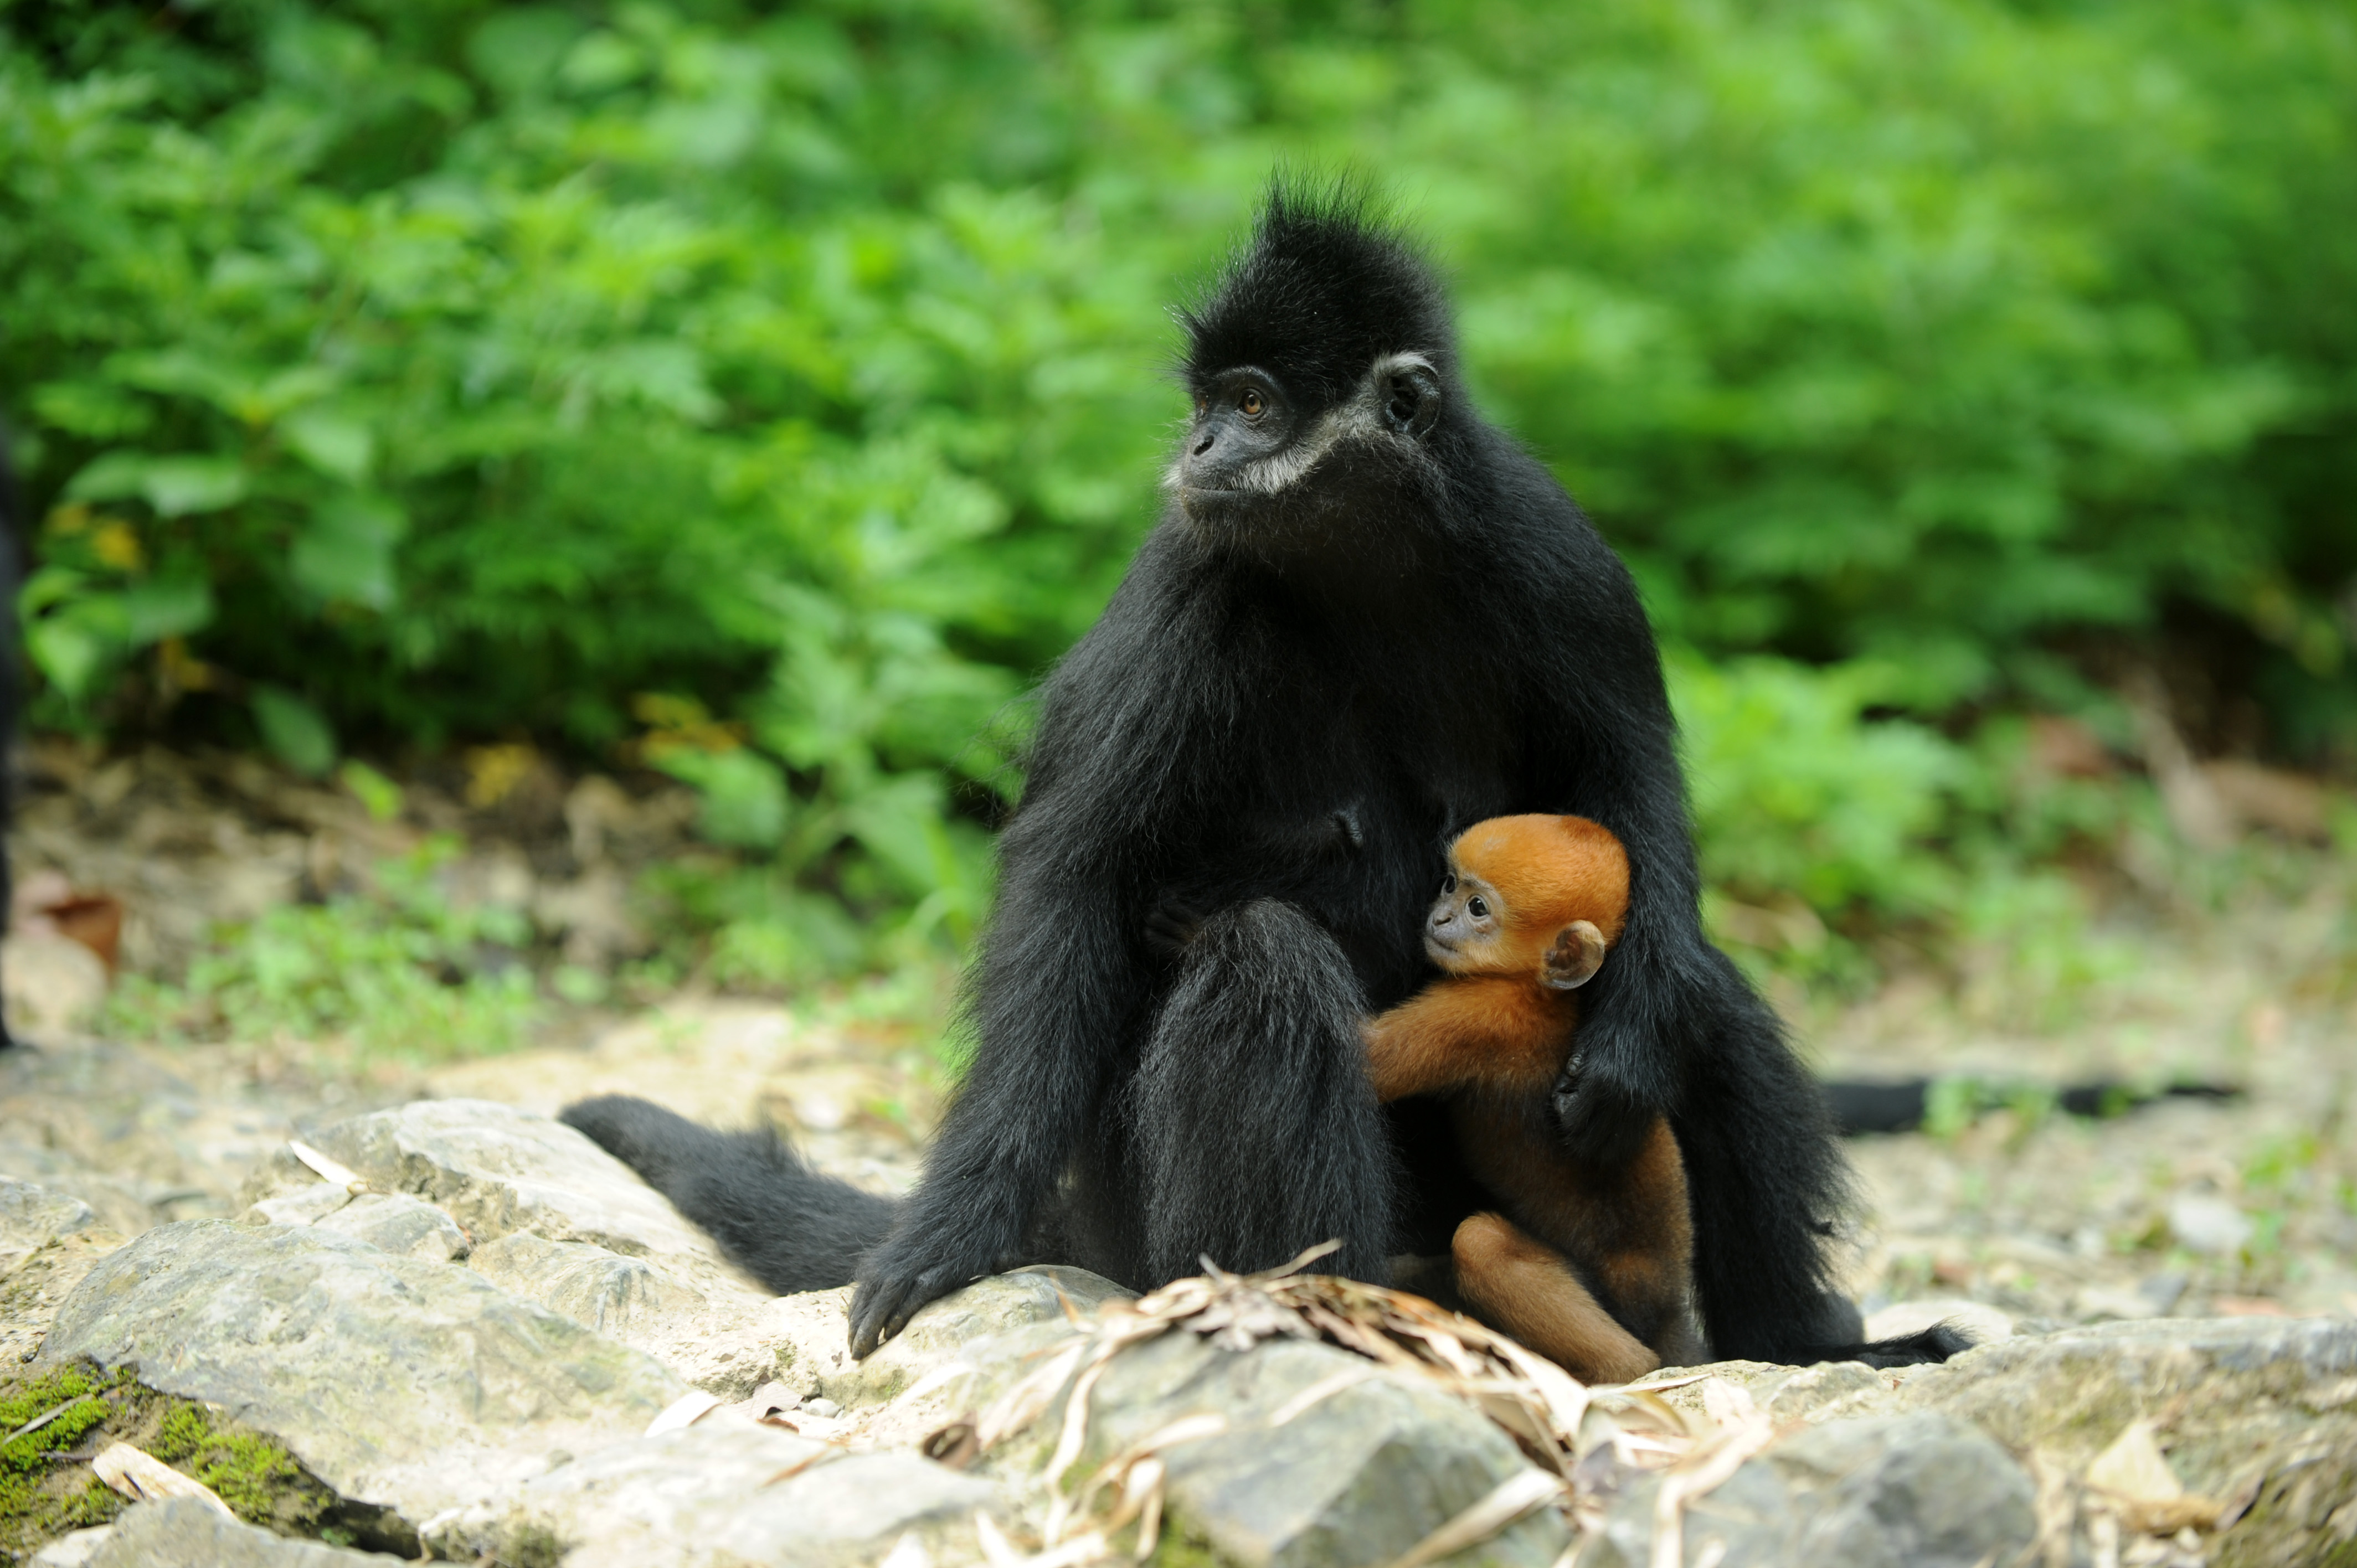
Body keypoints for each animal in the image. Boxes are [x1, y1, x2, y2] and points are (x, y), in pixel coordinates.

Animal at [1376, 811, 1706, 1377]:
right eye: (1450, 884)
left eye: (1478, 908)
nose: (1440, 918)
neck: (1536, 990)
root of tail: (1666, 1311)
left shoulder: (1478, 1014)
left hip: (1618, 1304)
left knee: (1483, 1244)